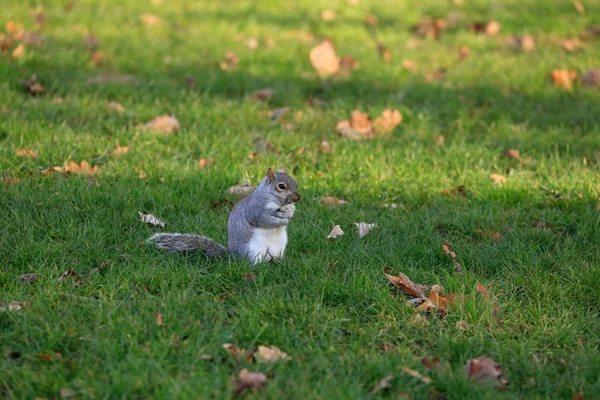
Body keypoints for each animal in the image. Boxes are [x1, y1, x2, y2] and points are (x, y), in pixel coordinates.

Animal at [148, 167, 300, 264]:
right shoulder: (256, 208)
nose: (298, 197)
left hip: (280, 248)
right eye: (281, 186)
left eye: (295, 181)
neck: (278, 202)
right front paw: (282, 221)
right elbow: (263, 219)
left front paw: (289, 213)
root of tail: (234, 257)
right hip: (252, 250)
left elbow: (290, 210)